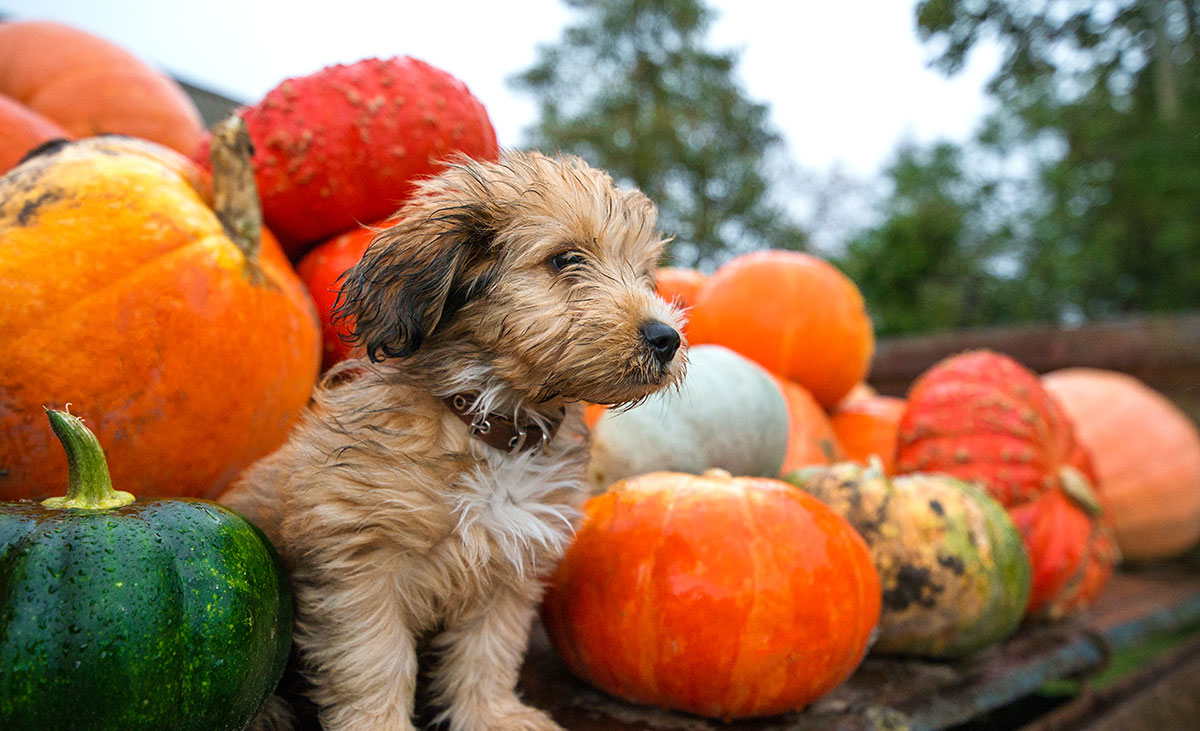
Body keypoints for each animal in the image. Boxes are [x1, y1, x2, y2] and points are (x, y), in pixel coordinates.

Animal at [218, 148, 686, 729]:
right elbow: (375, 662)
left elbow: (488, 655)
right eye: (564, 260)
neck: (491, 426)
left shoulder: (510, 570)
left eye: (644, 274)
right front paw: (379, 724)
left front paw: (494, 716)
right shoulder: (360, 565)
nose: (667, 338)